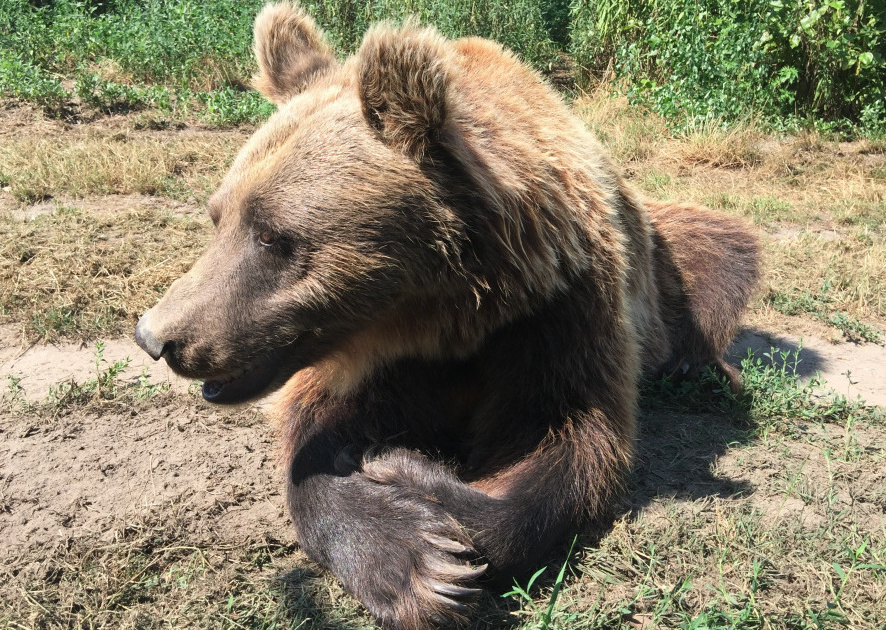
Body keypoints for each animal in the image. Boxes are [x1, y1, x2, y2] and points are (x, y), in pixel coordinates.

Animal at [135, 2, 760, 628]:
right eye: (219, 216)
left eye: (272, 235)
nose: (157, 337)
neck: (444, 317)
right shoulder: (376, 363)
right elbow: (312, 440)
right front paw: (404, 553)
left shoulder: (553, 317)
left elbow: (570, 438)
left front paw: (407, 479)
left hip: (663, 263)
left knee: (722, 254)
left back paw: (699, 365)